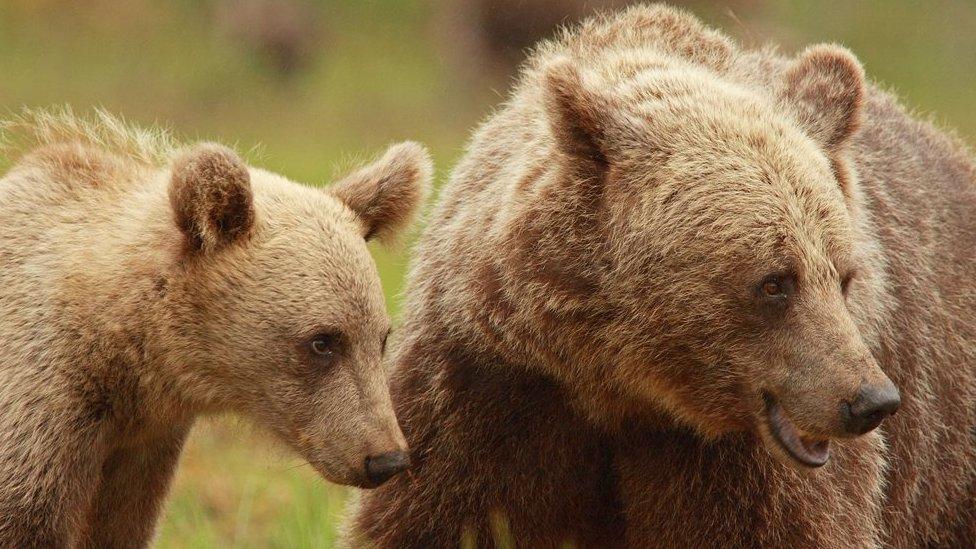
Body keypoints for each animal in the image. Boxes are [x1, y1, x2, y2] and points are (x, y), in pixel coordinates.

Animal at [348, 4, 976, 548]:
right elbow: (433, 517)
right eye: (775, 281)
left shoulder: (738, 469)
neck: (620, 386)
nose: (870, 400)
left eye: (845, 277)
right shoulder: (486, 394)